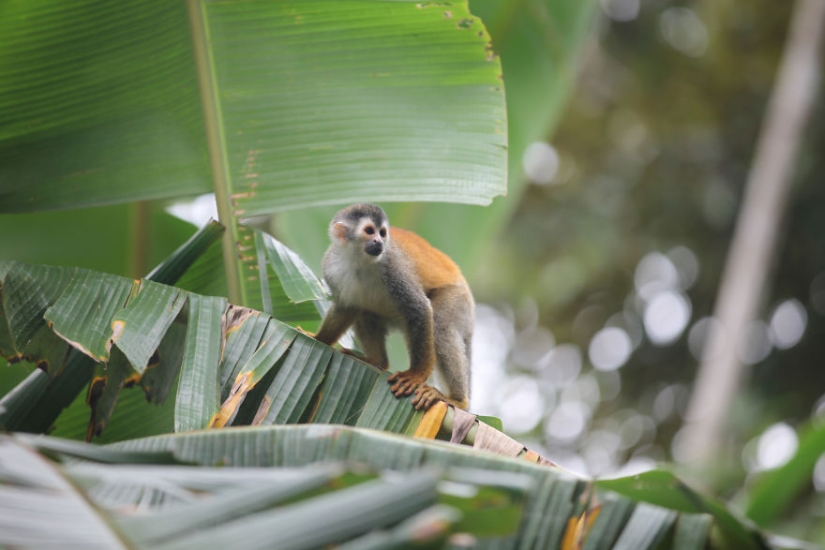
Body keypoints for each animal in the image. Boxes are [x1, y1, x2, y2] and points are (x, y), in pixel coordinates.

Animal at [312, 205, 474, 412]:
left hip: (458, 297)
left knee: (439, 324)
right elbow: (346, 307)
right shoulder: (330, 266)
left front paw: (416, 375)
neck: (359, 259)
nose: (379, 241)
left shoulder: (393, 267)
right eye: (369, 231)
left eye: (382, 233)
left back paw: (457, 399)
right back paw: (377, 361)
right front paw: (319, 339)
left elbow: (420, 309)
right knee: (364, 311)